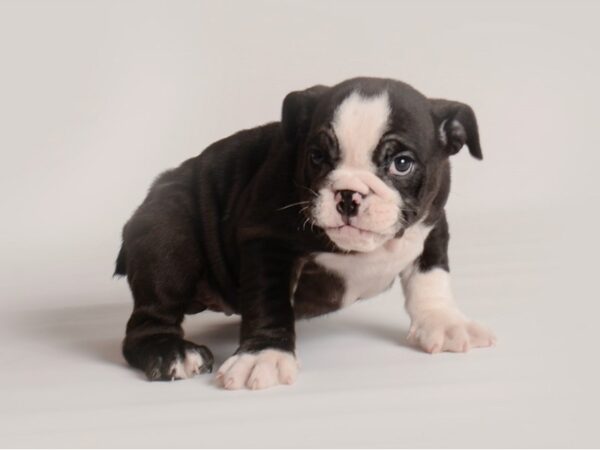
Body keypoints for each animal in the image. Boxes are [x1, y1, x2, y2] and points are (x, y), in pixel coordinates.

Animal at [115, 77, 494, 390]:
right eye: (317, 156)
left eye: (402, 163)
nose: (348, 194)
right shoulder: (267, 241)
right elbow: (270, 301)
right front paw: (264, 355)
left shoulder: (432, 220)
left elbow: (431, 276)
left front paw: (443, 322)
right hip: (168, 233)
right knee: (149, 319)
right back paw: (171, 353)